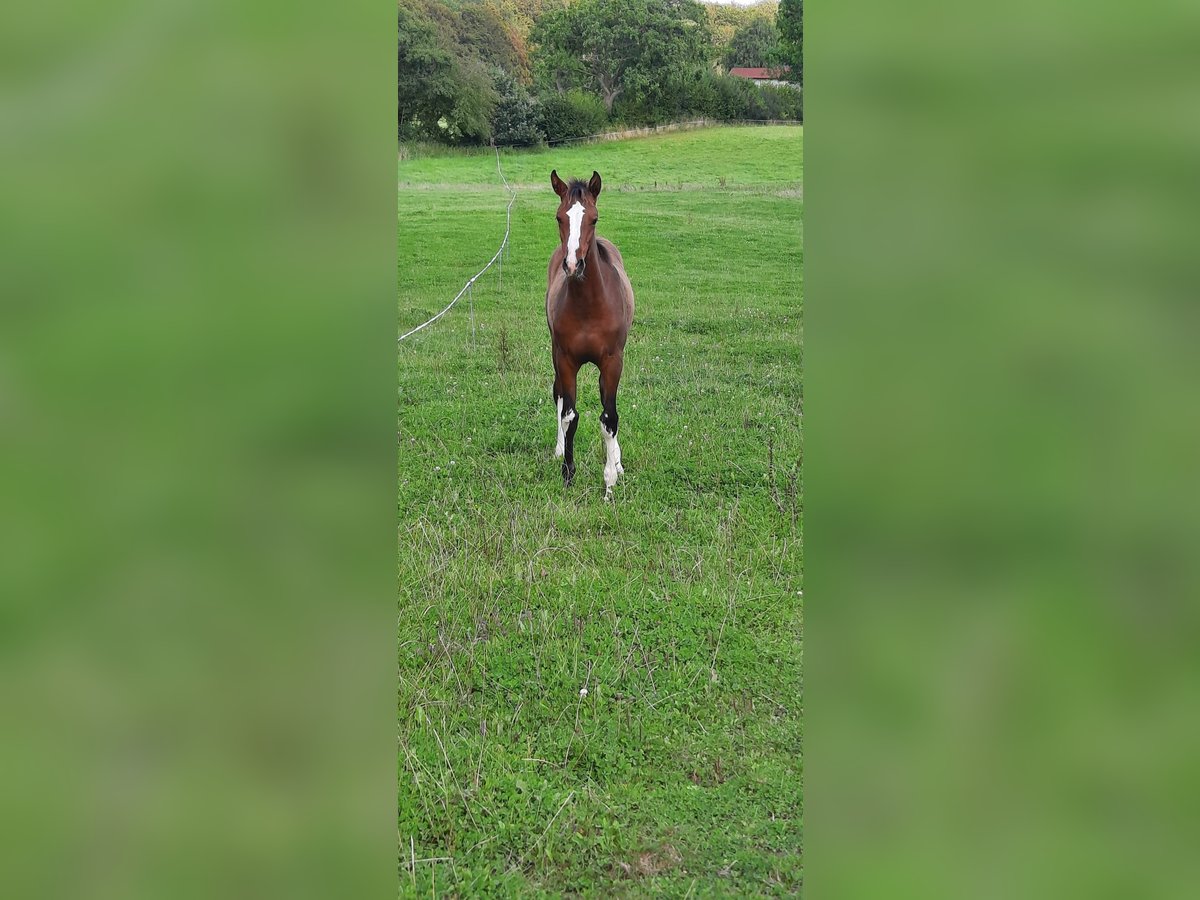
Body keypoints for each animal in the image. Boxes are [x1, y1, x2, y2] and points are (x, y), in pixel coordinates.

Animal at [547, 170, 633, 501]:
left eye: (594, 219)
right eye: (559, 217)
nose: (573, 264)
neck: (588, 307)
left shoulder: (612, 361)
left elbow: (609, 419)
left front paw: (609, 483)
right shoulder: (565, 359)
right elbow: (569, 414)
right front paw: (568, 474)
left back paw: (617, 462)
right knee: (558, 396)